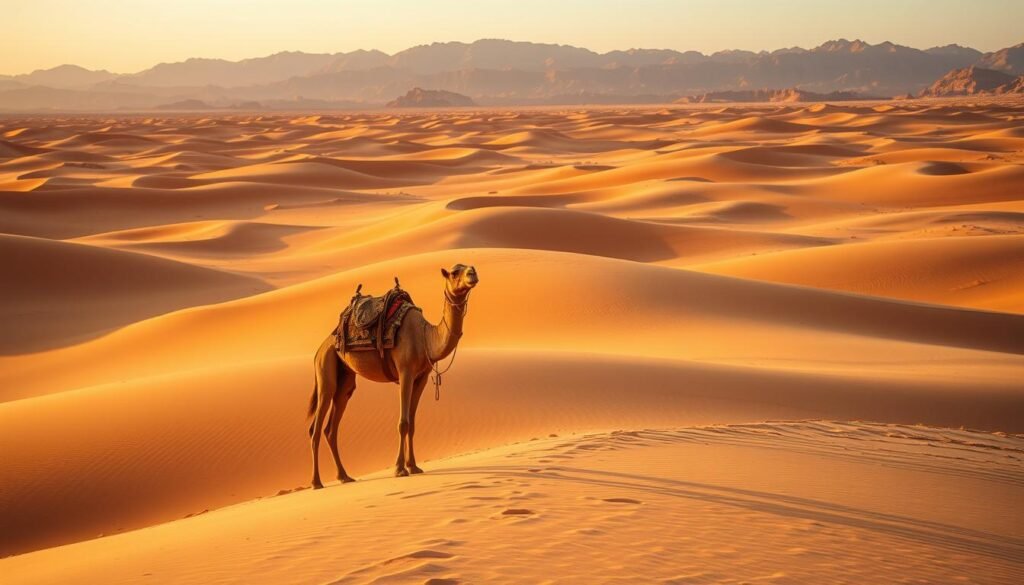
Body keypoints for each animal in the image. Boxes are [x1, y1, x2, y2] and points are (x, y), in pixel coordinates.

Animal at [306, 263, 479, 489]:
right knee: (316, 428)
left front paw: (414, 466)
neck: (425, 337)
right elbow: (403, 423)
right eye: (454, 272)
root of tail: (320, 348)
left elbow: (412, 423)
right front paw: (399, 469)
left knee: (331, 428)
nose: (473, 273)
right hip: (325, 372)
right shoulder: (405, 372)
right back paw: (316, 482)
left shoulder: (421, 378)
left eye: (469, 266)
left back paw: (344, 476)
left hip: (345, 380)